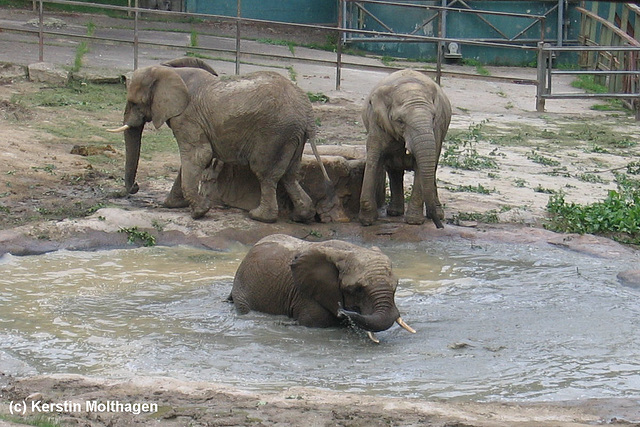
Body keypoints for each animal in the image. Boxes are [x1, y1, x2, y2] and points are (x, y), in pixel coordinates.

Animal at [109, 58, 324, 224]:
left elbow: (198, 155)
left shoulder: (187, 117)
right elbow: (190, 158)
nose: (135, 187)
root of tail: (307, 113)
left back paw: (259, 216)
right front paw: (172, 205)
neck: (169, 71)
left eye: (135, 103)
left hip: (274, 133)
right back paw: (301, 216)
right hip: (293, 136)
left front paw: (199, 212)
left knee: (266, 174)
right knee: (289, 174)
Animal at [358, 69, 452, 229]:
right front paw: (367, 221)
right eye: (400, 121)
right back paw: (394, 212)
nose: (440, 226)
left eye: (433, 118)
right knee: (393, 169)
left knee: (432, 167)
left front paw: (414, 222)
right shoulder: (377, 123)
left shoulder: (437, 129)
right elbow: (373, 158)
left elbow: (423, 165)